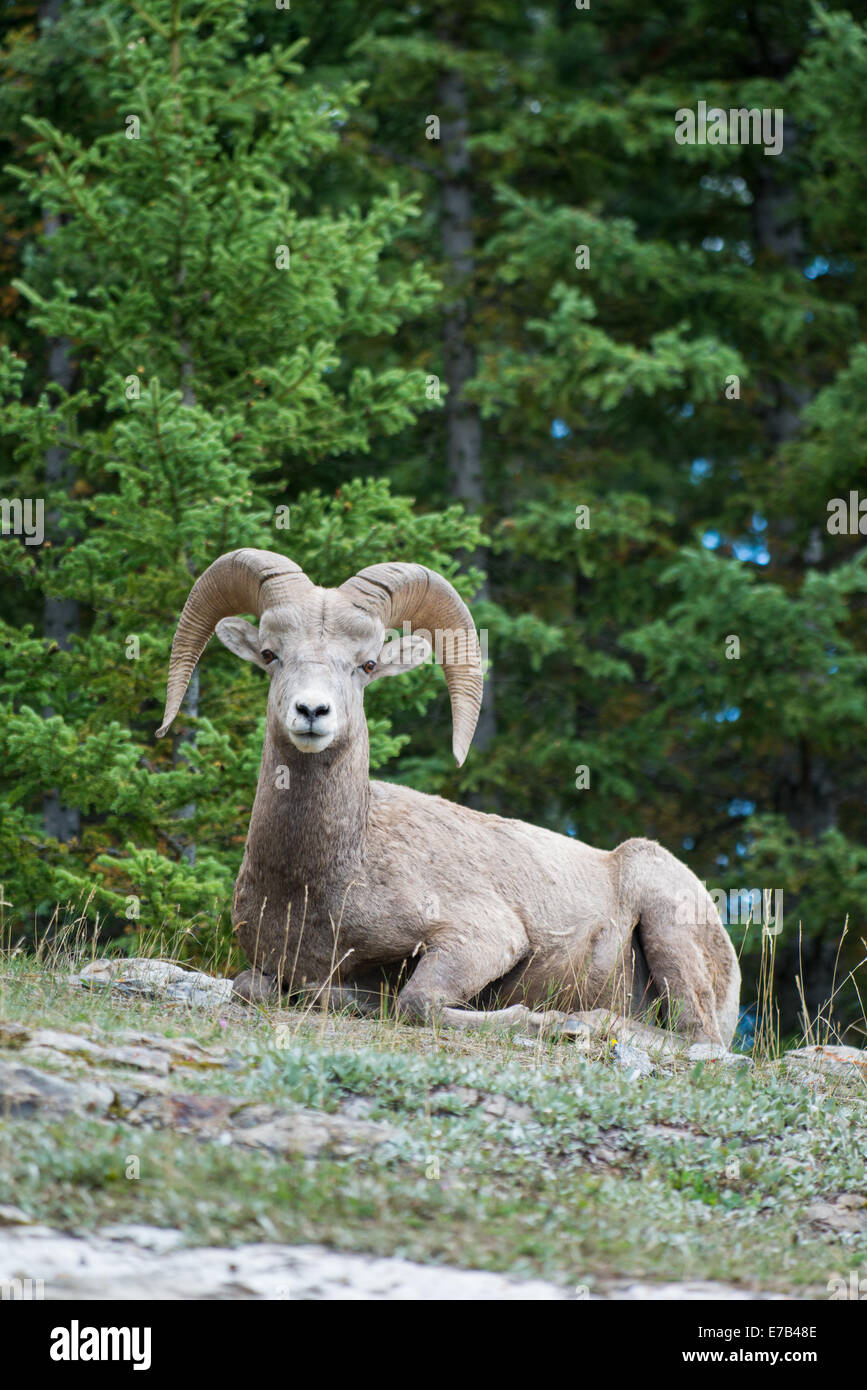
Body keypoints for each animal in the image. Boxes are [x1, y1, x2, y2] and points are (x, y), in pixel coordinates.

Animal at [157, 548, 741, 1044]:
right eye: (271, 654)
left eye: (366, 665)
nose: (312, 712)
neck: (323, 877)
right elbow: (250, 986)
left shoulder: (482, 939)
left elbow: (418, 1002)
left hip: (666, 922)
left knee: (698, 1039)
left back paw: (585, 1023)